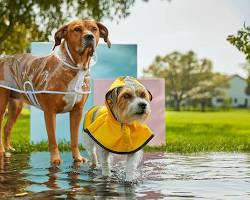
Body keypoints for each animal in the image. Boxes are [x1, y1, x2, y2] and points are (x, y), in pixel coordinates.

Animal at [0, 19, 110, 164]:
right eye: (77, 29)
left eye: (94, 29)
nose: (89, 36)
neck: (75, 67)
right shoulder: (50, 112)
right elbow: (53, 139)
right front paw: (55, 159)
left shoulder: (77, 112)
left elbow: (74, 138)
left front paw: (77, 157)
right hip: (2, 104)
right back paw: (2, 151)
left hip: (16, 106)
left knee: (7, 127)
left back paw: (9, 149)